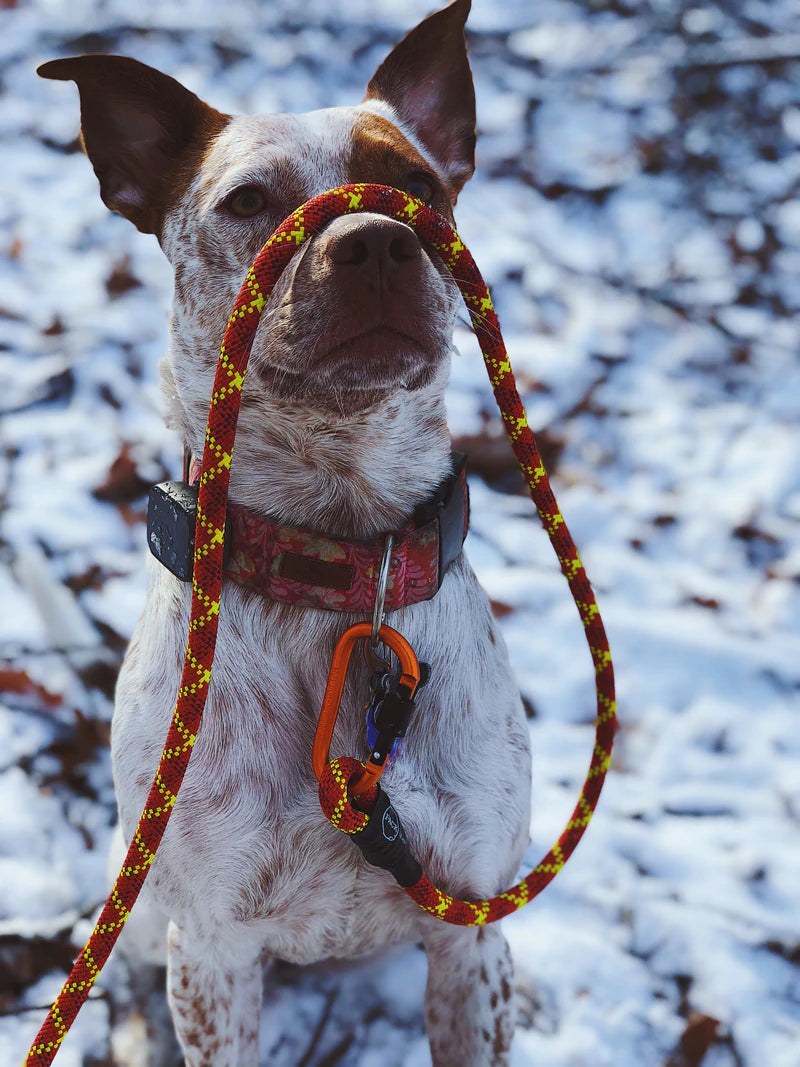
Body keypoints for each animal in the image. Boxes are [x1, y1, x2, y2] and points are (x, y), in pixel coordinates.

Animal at [40, 4, 535, 1062]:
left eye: (417, 185)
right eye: (248, 200)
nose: (377, 242)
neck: (341, 562)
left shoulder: (471, 930)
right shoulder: (212, 949)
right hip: (137, 905)